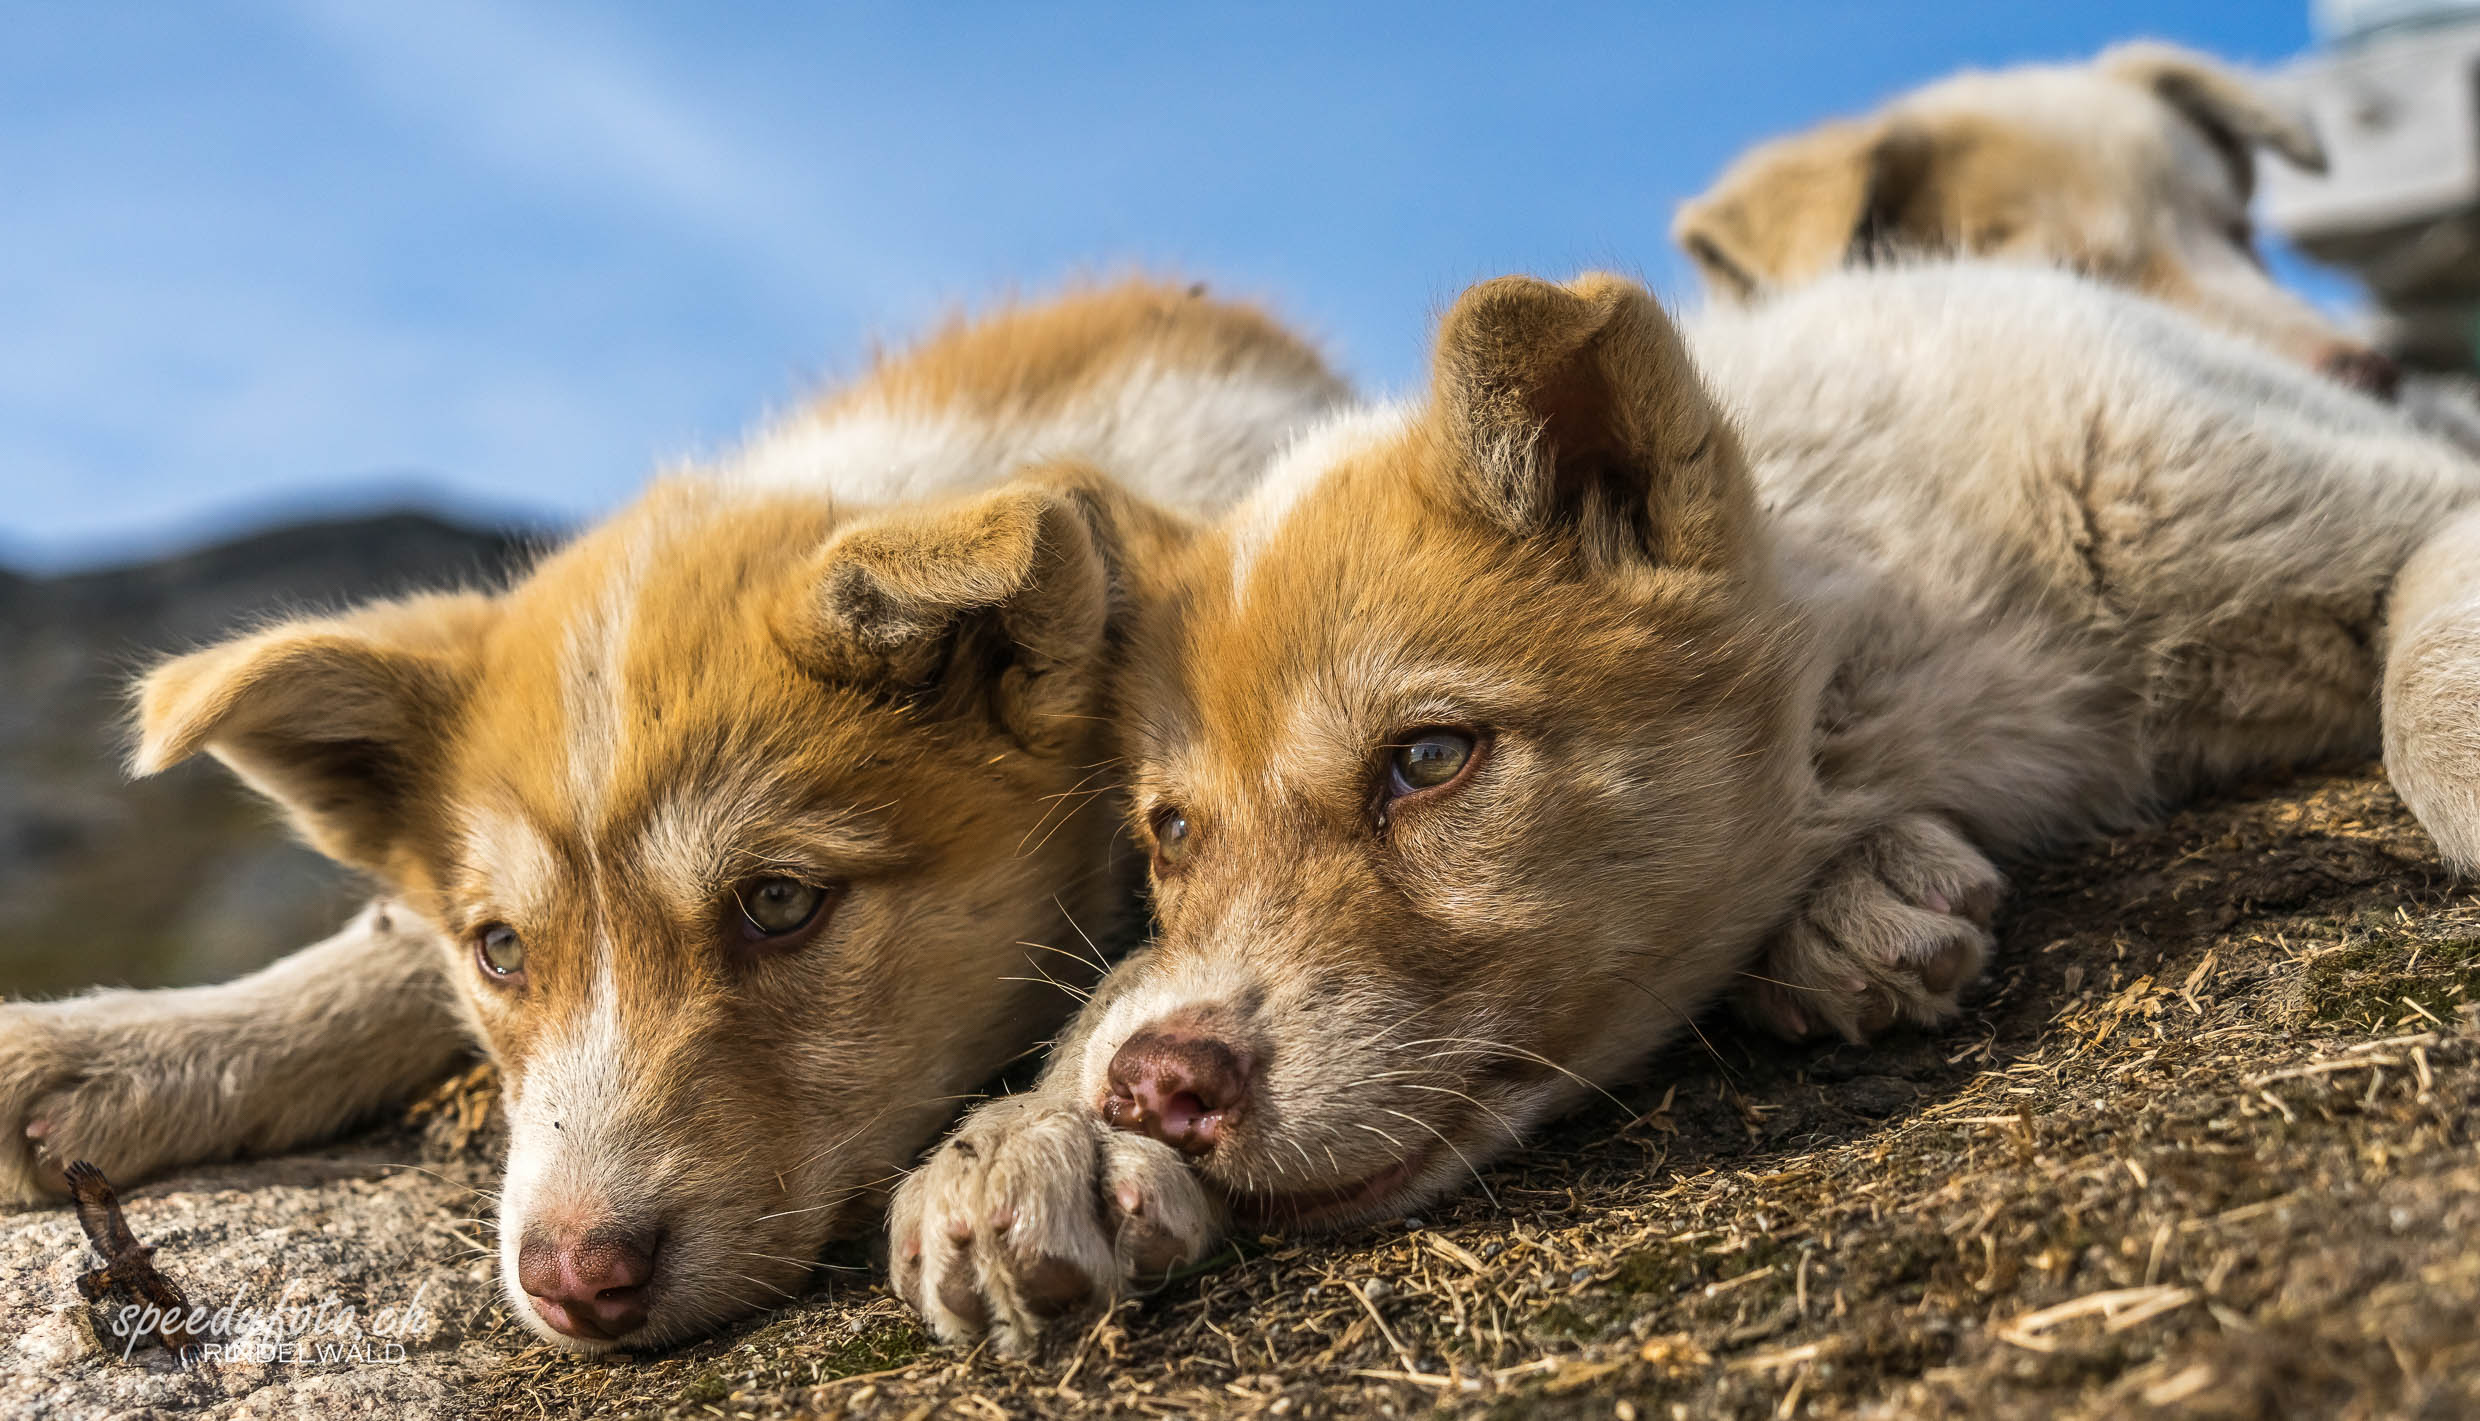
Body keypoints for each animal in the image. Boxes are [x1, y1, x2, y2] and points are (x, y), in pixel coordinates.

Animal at [0, 280, 1349, 1349]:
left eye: (778, 902)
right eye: (499, 948)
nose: (574, 1280)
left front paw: (1037, 1137)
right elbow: (383, 946)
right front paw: (132, 1044)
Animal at [892, 262, 2480, 1349]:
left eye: (1427, 759)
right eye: (1168, 832)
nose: (1164, 1091)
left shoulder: (2379, 491)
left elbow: (2430, 693)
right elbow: (1122, 982)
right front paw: (1031, 1138)